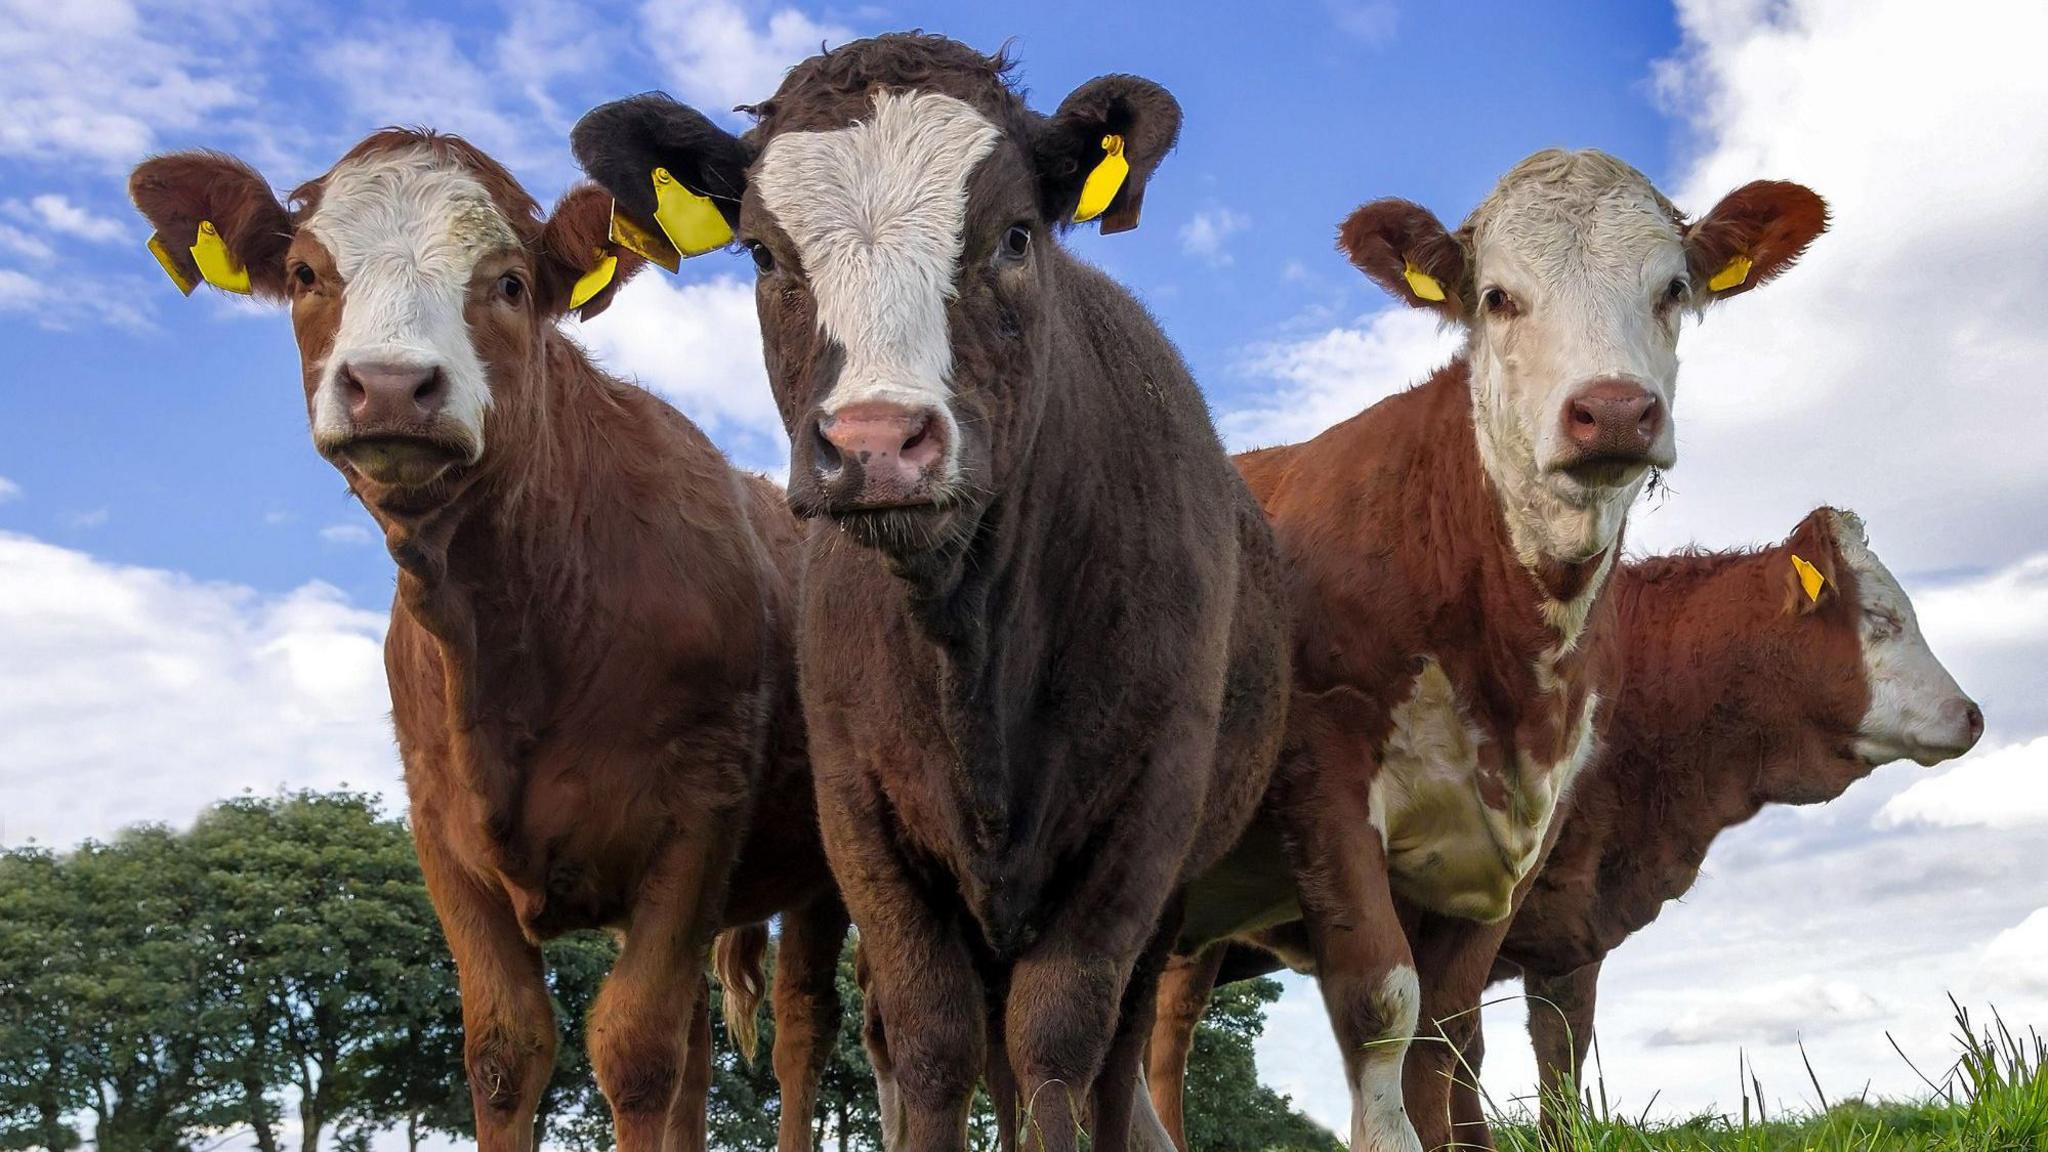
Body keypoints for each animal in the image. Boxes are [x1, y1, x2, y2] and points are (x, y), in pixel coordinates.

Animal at [128, 130, 847, 1147]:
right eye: (307, 274)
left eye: (508, 283)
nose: (390, 384)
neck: (514, 626)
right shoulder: (442, 832)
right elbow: (508, 1052)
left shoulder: (698, 816)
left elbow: (634, 1049)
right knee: (701, 1049)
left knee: (800, 1033)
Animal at [569, 31, 1286, 1147]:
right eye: (763, 255)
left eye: (1017, 236)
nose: (875, 444)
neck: (971, 644)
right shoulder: (861, 816)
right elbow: (932, 1036)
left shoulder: (1145, 821)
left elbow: (1060, 1040)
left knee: (1113, 1053)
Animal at [1146, 502, 1974, 1147]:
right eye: (1882, 619)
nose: (1973, 714)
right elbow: (1440, 1044)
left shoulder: (1566, 937)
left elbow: (1553, 1064)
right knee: (1166, 1039)